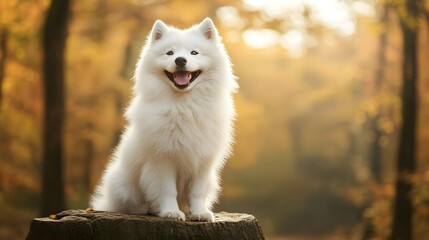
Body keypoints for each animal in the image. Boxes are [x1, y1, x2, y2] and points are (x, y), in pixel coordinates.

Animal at [90, 17, 237, 222]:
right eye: (170, 53)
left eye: (194, 52)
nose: (180, 60)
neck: (184, 105)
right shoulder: (162, 159)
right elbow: (167, 190)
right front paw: (171, 212)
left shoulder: (202, 161)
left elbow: (197, 192)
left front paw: (199, 212)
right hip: (124, 184)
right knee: (128, 205)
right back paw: (148, 208)